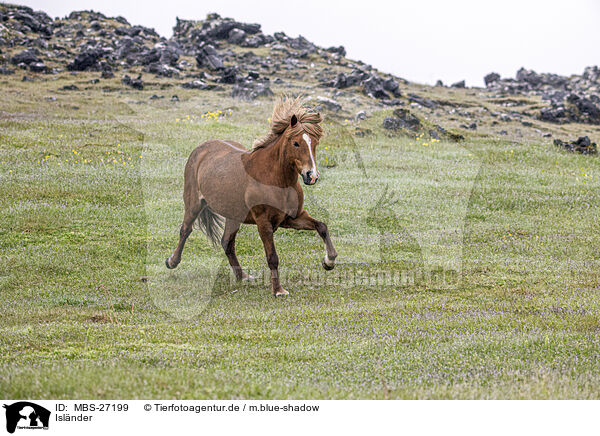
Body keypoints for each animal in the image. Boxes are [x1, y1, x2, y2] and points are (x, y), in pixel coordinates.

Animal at [166, 97, 338, 296]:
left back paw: (243, 276)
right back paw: (172, 261)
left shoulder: (291, 218)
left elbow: (322, 226)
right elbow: (272, 257)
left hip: (233, 216)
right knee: (185, 230)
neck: (274, 180)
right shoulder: (264, 222)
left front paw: (329, 261)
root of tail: (201, 149)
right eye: (296, 143)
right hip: (193, 204)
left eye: (315, 143)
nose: (312, 176)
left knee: (227, 243)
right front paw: (278, 290)